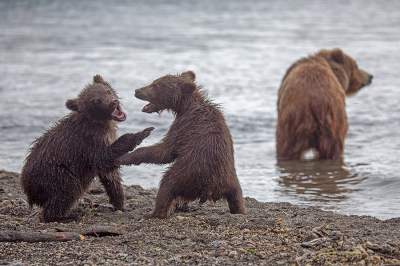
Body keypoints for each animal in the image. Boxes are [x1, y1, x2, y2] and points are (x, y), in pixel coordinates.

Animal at [21, 75, 154, 222]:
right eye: (96, 101)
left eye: (108, 91)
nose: (113, 102)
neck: (101, 124)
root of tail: (28, 190)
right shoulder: (88, 144)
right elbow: (104, 158)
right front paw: (142, 133)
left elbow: (110, 176)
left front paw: (120, 203)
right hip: (55, 174)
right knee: (67, 190)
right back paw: (66, 216)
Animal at [117, 70, 245, 218]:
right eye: (154, 81)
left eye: (156, 85)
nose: (137, 91)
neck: (185, 106)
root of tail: (211, 188)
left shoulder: (184, 126)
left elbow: (165, 151)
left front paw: (124, 157)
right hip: (231, 181)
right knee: (237, 197)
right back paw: (240, 210)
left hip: (188, 173)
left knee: (166, 185)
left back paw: (154, 212)